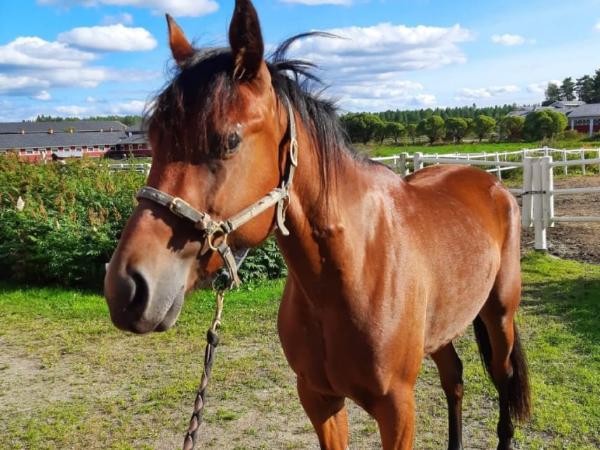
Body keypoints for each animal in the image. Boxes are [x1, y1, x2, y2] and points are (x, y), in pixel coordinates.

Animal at [104, 1, 531, 448]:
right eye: (152, 139)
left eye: (229, 141)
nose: (126, 288)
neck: (353, 267)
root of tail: (491, 183)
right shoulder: (317, 397)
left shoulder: (398, 410)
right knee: (454, 378)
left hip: (499, 314)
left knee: (503, 377)